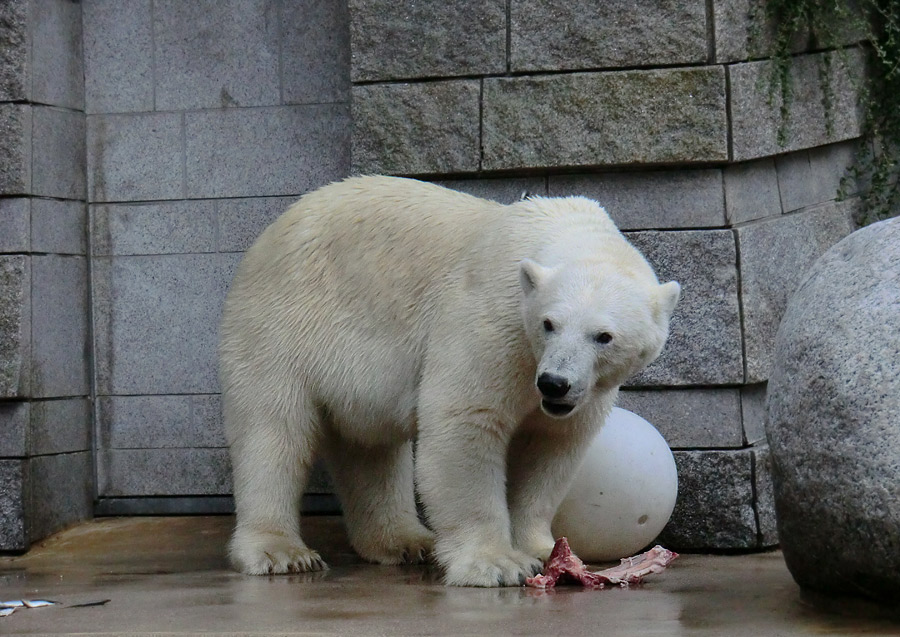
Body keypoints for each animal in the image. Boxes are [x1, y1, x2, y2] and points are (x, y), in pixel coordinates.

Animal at [221, 174, 680, 588]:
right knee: (274, 432)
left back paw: (404, 541)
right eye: (549, 324)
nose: (554, 383)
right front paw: (498, 564)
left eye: (604, 336)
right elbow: (466, 424)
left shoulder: (581, 391)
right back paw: (281, 552)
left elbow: (551, 448)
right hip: (284, 322)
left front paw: (545, 550)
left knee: (370, 448)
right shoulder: (492, 323)